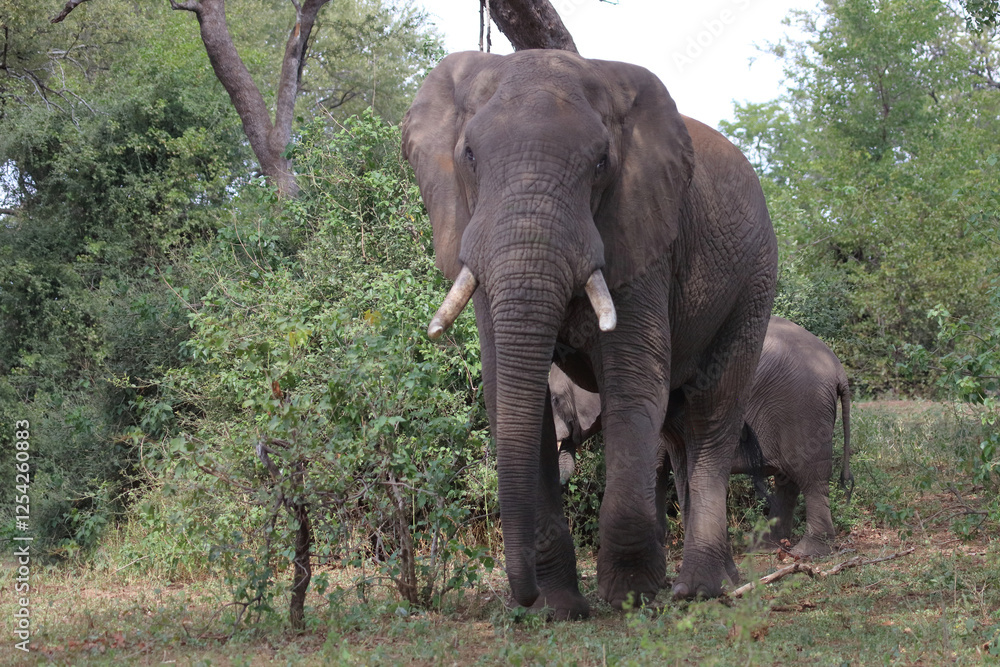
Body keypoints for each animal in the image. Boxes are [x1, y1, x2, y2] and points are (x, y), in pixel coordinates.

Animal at [402, 49, 777, 619]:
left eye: (601, 163)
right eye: (468, 155)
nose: (523, 596)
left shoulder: (641, 234)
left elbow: (632, 382)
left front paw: (630, 599)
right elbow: (509, 391)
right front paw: (560, 609)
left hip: (755, 280)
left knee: (715, 412)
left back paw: (698, 590)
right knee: (679, 430)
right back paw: (719, 580)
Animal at [551, 315, 854, 557]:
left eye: (554, 399)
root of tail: (839, 370)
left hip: (803, 410)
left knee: (810, 477)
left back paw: (808, 552)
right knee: (787, 479)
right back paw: (766, 546)